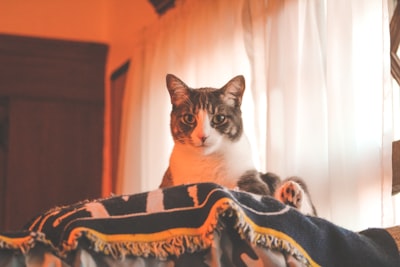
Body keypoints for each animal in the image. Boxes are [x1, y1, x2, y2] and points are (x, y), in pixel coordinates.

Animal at [159, 74, 316, 217]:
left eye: (219, 118)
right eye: (189, 118)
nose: (203, 136)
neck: (207, 160)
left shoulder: (254, 181)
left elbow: (257, 195)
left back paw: (291, 193)